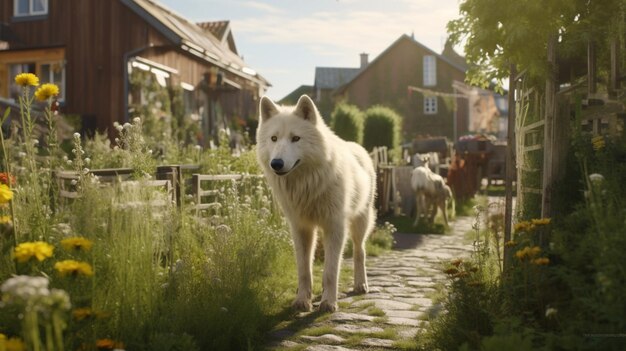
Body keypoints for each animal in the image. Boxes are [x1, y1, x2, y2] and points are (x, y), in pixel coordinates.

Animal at [255, 95, 372, 312]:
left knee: (360, 251)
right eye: (274, 139)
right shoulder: (301, 228)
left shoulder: (335, 227)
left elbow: (331, 271)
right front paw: (302, 301)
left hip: (360, 223)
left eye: (295, 138)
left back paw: (361, 284)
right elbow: (304, 270)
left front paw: (328, 303)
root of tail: (356, 146)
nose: (276, 164)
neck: (306, 184)